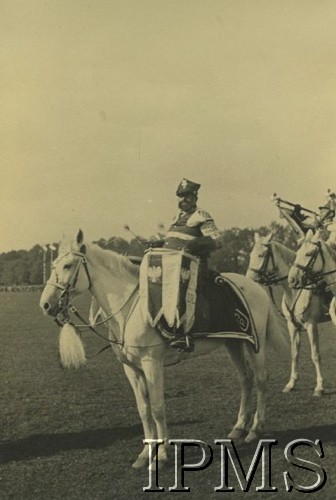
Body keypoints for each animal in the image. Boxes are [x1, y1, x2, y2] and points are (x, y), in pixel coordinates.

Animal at [40, 229, 288, 468]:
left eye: (67, 265)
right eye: (53, 266)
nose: (45, 304)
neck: (131, 309)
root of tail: (255, 286)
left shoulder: (152, 363)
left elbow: (158, 408)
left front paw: (162, 455)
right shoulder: (131, 368)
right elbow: (144, 409)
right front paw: (145, 454)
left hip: (255, 344)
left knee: (261, 379)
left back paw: (255, 429)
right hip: (234, 342)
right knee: (245, 379)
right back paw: (239, 427)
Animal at [247, 232, 326, 396]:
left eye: (261, 254)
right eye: (250, 254)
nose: (247, 280)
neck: (296, 291)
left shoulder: (311, 325)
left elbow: (315, 355)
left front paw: (319, 386)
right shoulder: (292, 326)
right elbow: (294, 353)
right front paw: (291, 383)